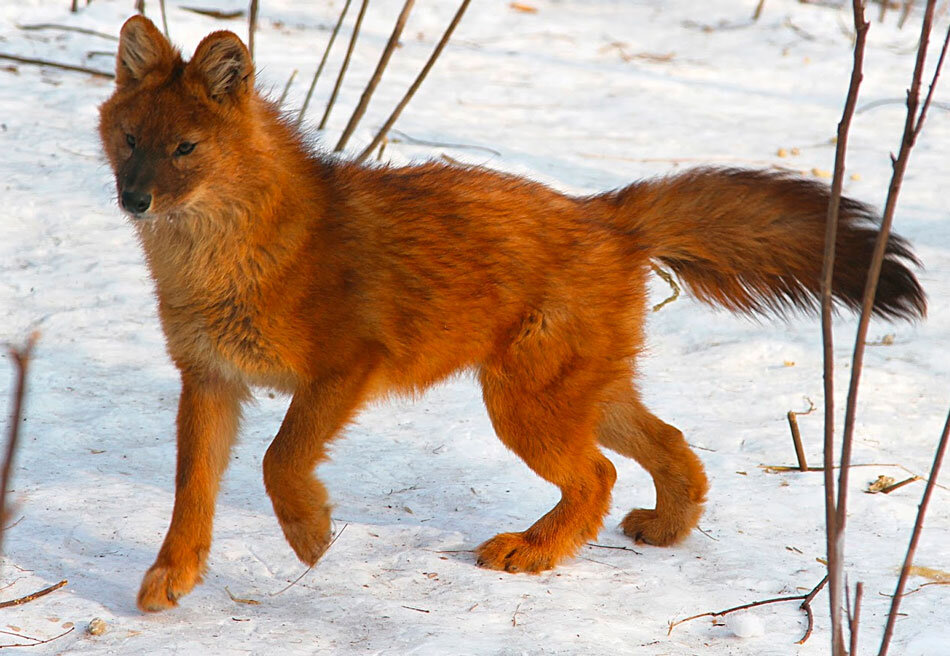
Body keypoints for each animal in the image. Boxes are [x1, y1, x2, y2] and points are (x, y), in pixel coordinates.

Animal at [100, 15, 924, 612]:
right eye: (130, 140)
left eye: (186, 148)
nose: (134, 199)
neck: (226, 261)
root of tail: (608, 214)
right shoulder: (209, 380)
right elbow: (191, 493)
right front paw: (172, 577)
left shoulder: (344, 369)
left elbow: (280, 459)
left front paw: (309, 534)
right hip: (576, 394)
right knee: (670, 445)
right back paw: (662, 529)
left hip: (523, 403)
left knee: (597, 475)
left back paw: (531, 551)